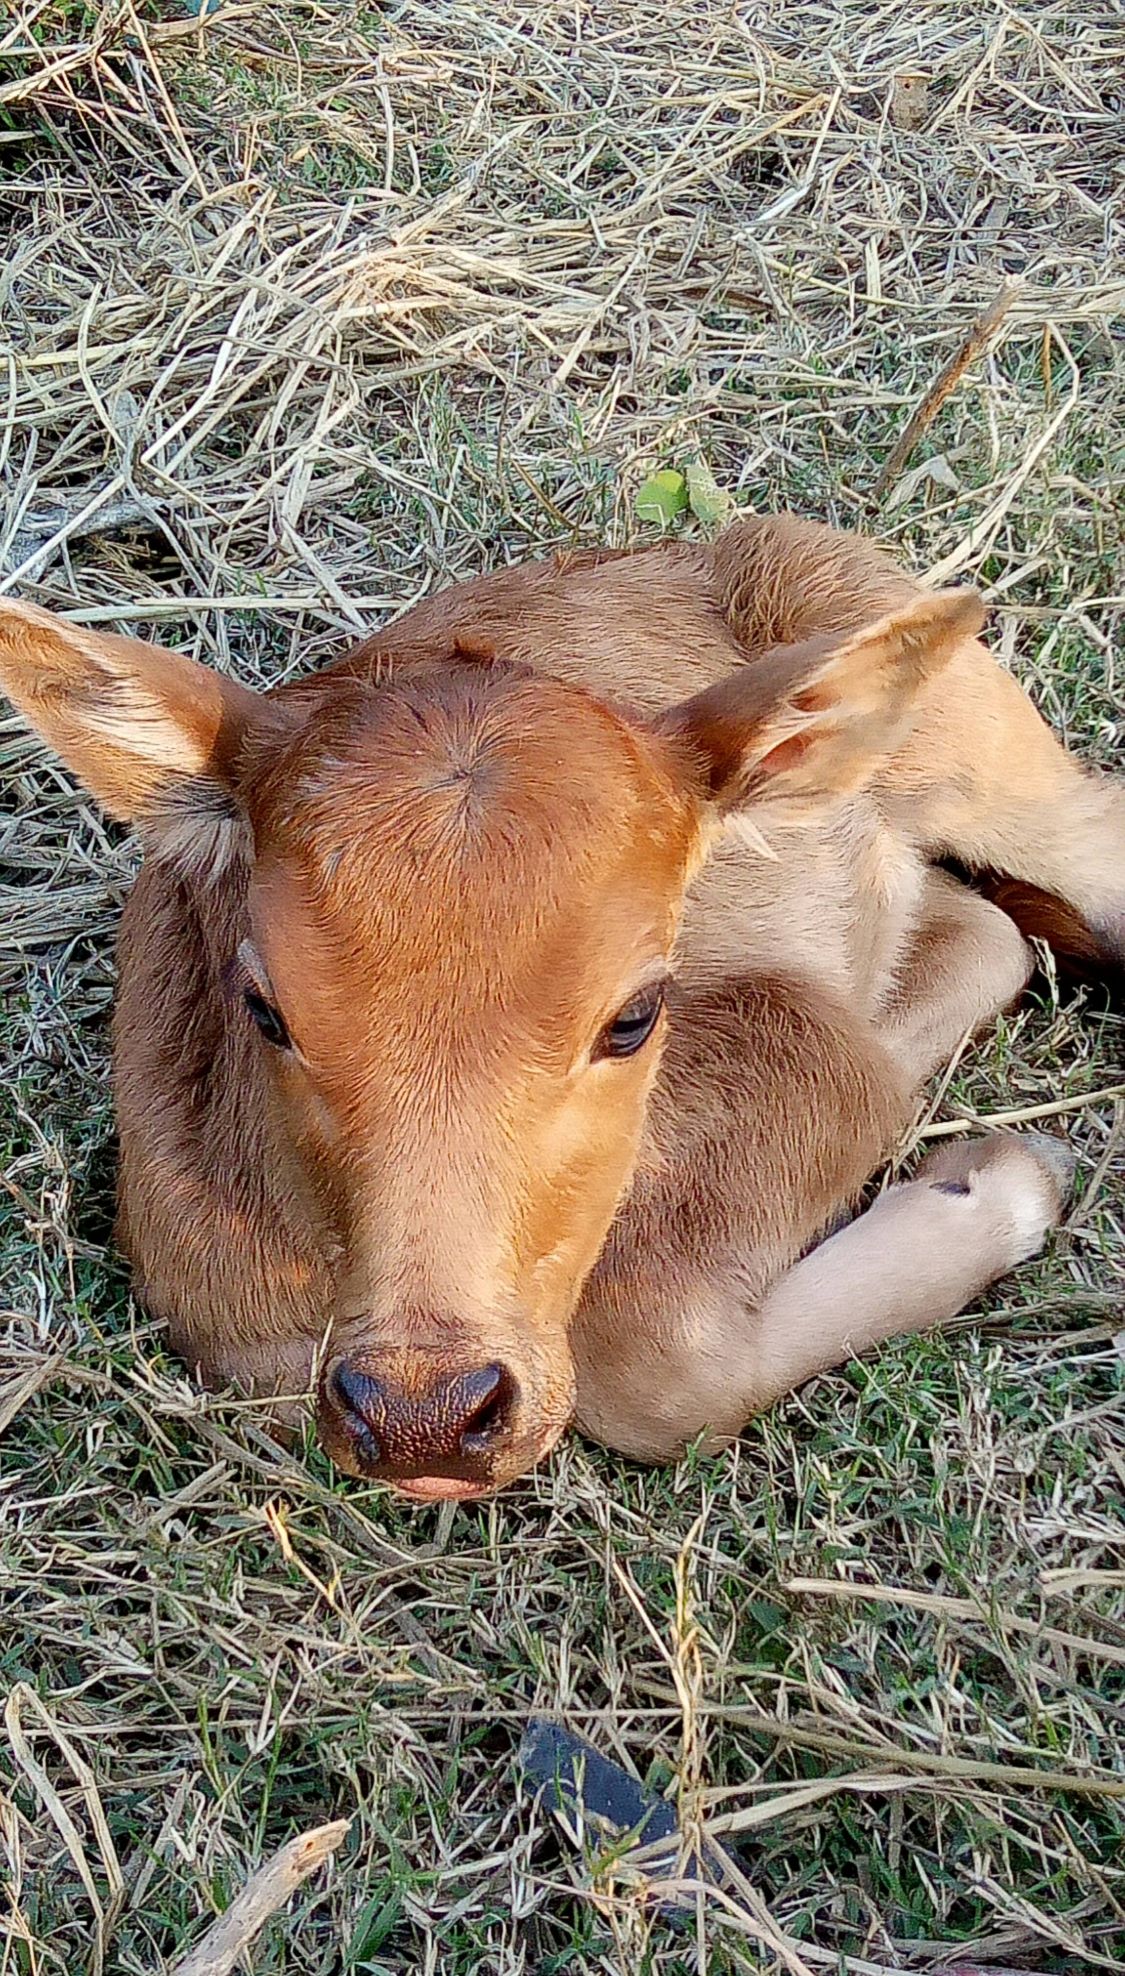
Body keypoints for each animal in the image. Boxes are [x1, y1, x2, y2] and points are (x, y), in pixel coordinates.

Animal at [4, 517, 1115, 1501]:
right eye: (264, 1009)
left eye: (634, 1015)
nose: (423, 1412)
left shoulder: (794, 1043)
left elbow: (656, 1369)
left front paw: (1007, 1178)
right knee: (984, 925)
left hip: (988, 764)